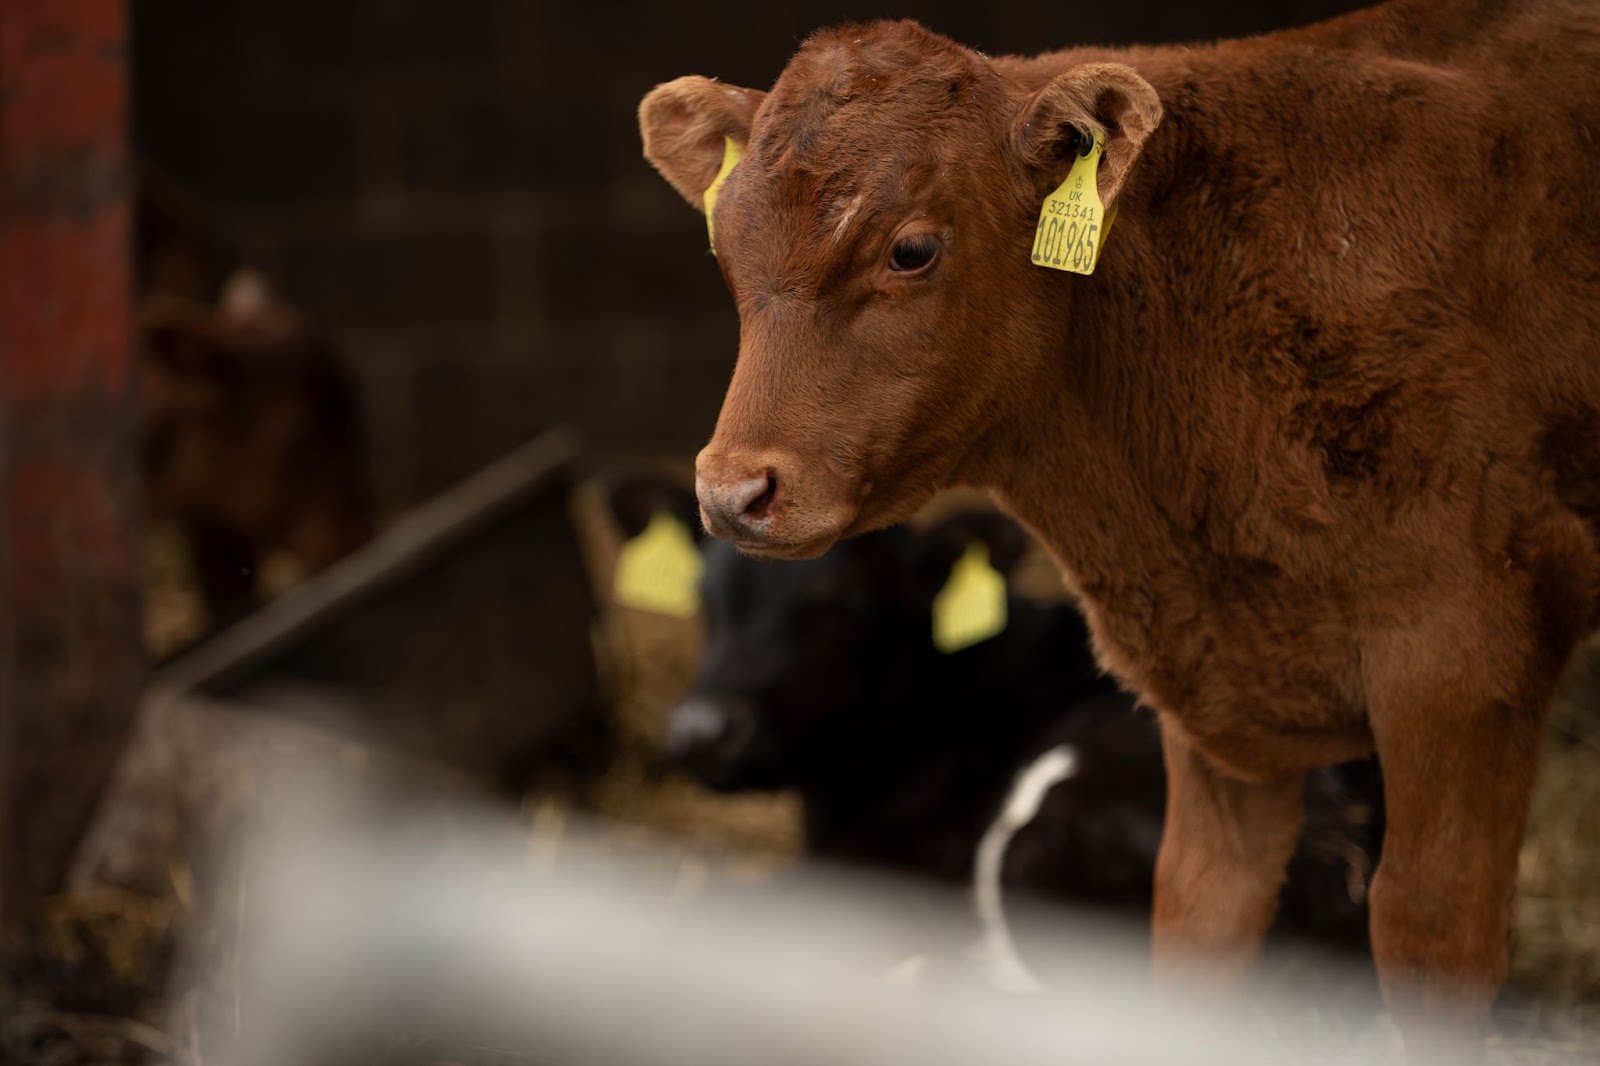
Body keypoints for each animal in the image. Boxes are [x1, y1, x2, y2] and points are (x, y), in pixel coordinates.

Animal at [643, 0, 1600, 1037]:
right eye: (726, 246)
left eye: (911, 249)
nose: (733, 490)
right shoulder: (1215, 682)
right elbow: (1197, 913)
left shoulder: (1466, 662)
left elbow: (1433, 929)